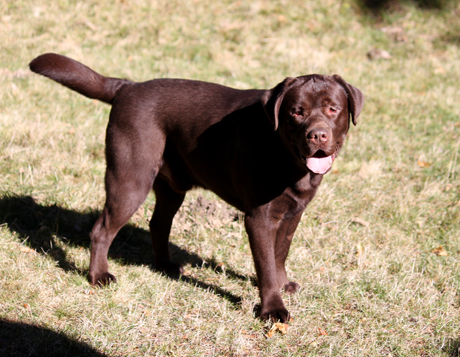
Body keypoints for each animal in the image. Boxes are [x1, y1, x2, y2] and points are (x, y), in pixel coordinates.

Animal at [30, 53, 364, 322]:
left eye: (333, 109)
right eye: (296, 112)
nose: (317, 135)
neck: (286, 158)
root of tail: (126, 87)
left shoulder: (294, 212)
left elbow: (279, 253)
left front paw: (284, 285)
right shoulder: (259, 217)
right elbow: (265, 264)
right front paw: (272, 309)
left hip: (171, 187)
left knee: (158, 224)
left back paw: (165, 266)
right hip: (130, 179)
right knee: (102, 230)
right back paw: (99, 276)